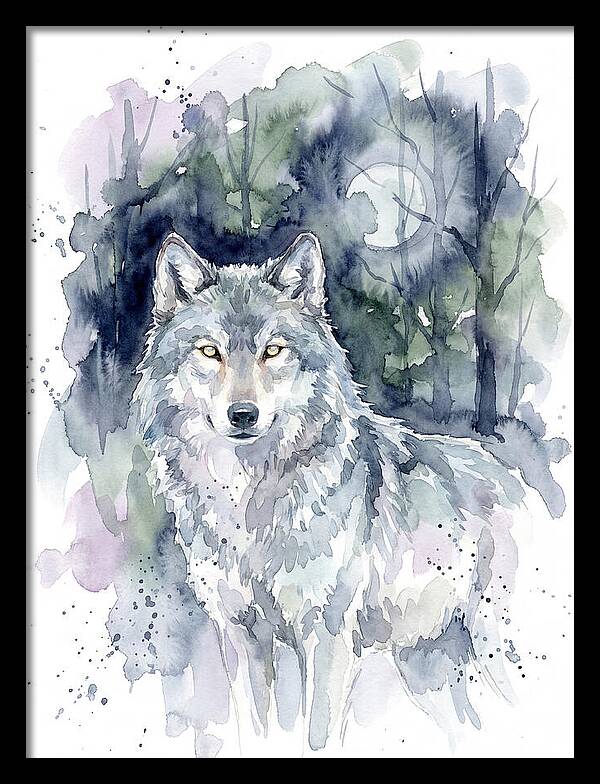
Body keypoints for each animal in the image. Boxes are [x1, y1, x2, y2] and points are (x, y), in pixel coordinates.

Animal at [134, 230, 524, 754]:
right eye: (210, 352)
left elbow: (316, 735)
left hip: (497, 653)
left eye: (273, 350)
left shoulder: (327, 634)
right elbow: (256, 731)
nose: (243, 415)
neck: (250, 504)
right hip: (428, 671)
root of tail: (518, 478)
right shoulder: (241, 636)